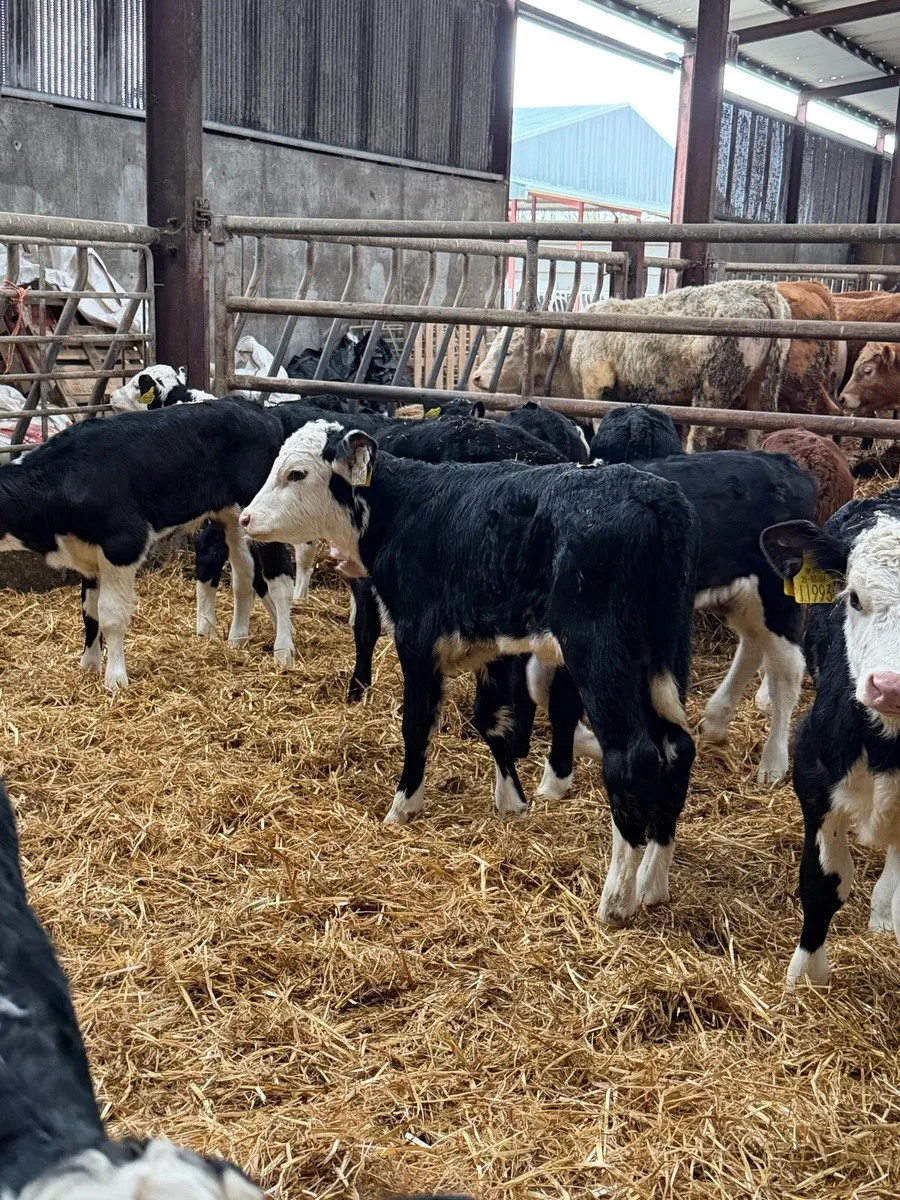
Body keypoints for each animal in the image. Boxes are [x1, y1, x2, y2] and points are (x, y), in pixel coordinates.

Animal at [240, 420, 700, 927]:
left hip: (603, 656)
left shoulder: (417, 640)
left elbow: (417, 725)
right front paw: (512, 802)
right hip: (662, 660)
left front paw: (403, 806)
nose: (245, 519)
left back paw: (616, 899)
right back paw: (653, 882)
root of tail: (650, 493)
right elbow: (492, 722)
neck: (403, 510)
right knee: (678, 748)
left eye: (297, 473)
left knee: (634, 757)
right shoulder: (492, 649)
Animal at [469, 281, 791, 452]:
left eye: (509, 352)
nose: (477, 377)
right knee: (752, 431)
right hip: (757, 391)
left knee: (702, 436)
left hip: (712, 391)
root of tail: (759, 289)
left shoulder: (597, 388)